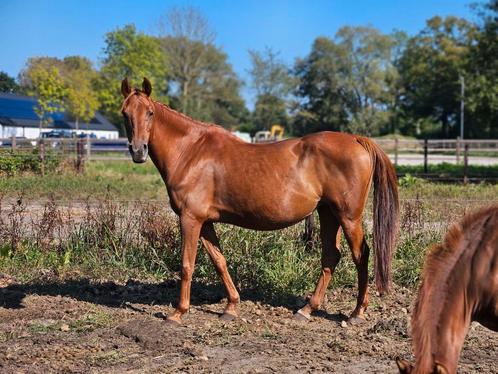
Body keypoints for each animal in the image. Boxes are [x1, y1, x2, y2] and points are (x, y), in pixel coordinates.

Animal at [118, 77, 398, 326]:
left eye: (150, 113)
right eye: (124, 113)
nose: (138, 151)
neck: (191, 151)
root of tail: (357, 140)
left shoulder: (190, 218)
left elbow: (187, 264)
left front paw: (178, 313)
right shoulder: (205, 222)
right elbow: (219, 261)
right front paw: (231, 307)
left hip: (348, 217)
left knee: (361, 255)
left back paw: (357, 313)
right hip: (328, 213)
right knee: (331, 256)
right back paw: (307, 309)